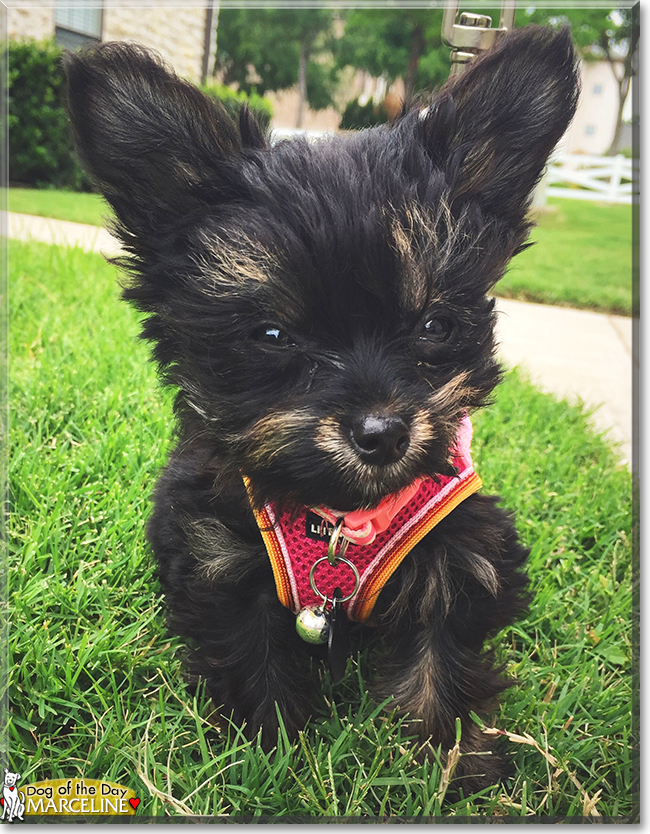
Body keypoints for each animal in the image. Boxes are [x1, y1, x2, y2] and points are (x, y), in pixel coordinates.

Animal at [63, 26, 576, 788]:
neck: (340, 515)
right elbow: (252, 660)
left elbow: (442, 656)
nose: (383, 432)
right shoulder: (217, 559)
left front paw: (448, 763)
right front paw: (266, 756)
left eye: (435, 327)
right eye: (273, 336)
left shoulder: (463, 553)